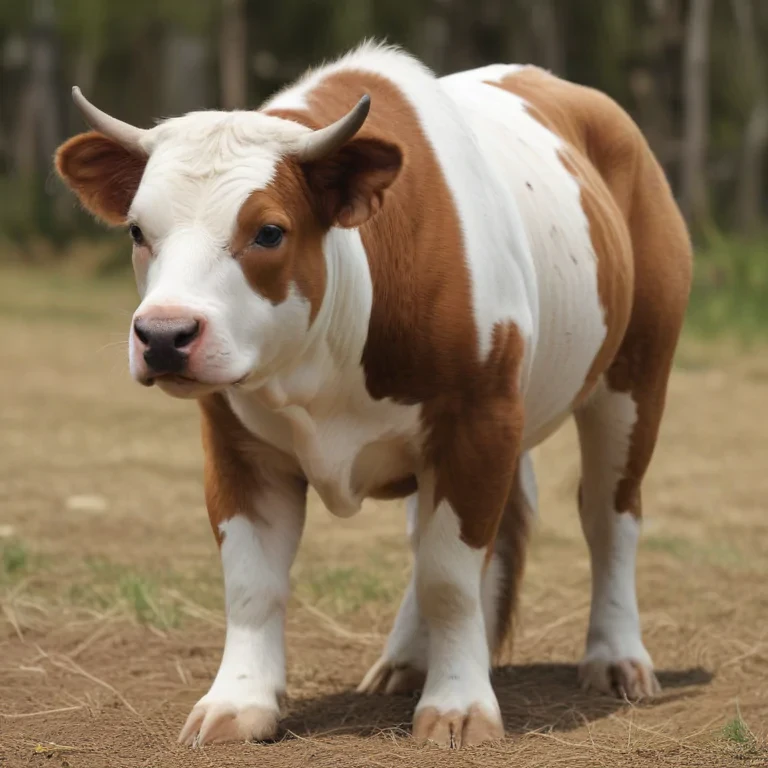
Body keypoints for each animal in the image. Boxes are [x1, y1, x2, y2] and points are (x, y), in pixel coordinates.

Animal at [54, 42, 692, 749]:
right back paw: (408, 658)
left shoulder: (478, 421)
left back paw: (616, 656)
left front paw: (459, 704)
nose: (164, 335)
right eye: (138, 230)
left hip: (636, 376)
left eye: (269, 231)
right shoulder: (235, 444)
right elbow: (253, 582)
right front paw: (237, 703)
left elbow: (450, 576)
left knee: (609, 514)